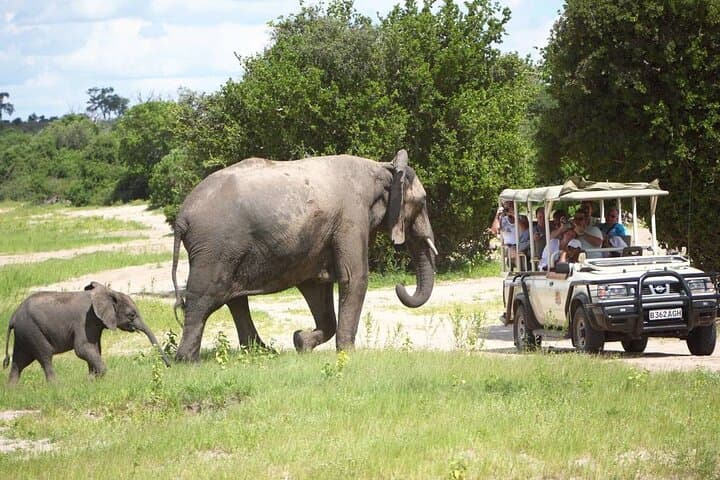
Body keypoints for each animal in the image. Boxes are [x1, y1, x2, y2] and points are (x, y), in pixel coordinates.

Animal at [3, 282, 170, 384]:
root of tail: (13, 316)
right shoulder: (85, 321)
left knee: (19, 361)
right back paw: (57, 386)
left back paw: (12, 389)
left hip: (24, 333)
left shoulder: (95, 324)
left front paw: (91, 379)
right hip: (33, 330)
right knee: (45, 356)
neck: (107, 293)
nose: (169, 366)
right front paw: (91, 379)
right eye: (132, 315)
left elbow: (95, 348)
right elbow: (83, 349)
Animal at [171, 149, 437, 361]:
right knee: (203, 298)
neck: (382, 168)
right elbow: (354, 277)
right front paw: (348, 355)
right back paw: (187, 361)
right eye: (423, 201)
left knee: (233, 298)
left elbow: (316, 286)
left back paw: (261, 353)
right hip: (215, 248)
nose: (400, 285)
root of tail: (182, 216)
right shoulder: (351, 216)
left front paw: (300, 342)